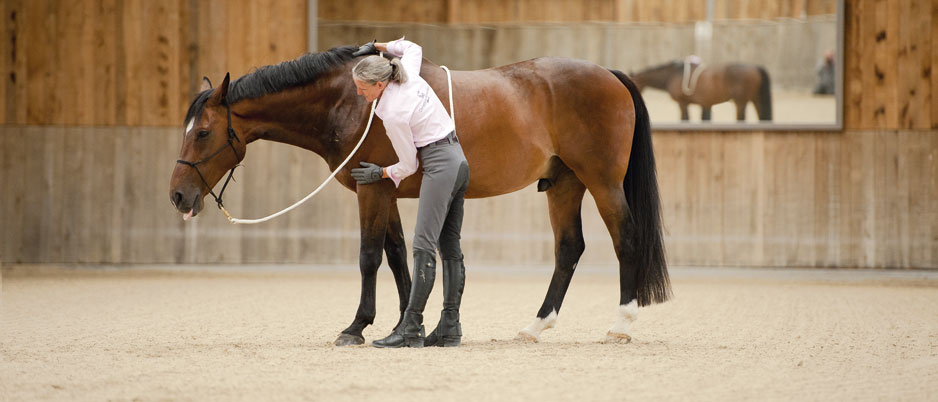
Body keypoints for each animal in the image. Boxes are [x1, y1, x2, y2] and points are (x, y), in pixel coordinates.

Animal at [166, 44, 664, 346]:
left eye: (204, 132)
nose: (177, 196)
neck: (353, 101)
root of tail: (610, 74)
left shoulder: (372, 190)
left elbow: (369, 257)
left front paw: (357, 327)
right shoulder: (389, 192)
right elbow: (399, 257)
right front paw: (410, 325)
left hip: (601, 182)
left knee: (626, 241)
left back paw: (621, 325)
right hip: (563, 184)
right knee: (568, 249)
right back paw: (535, 326)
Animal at [624, 60, 772, 121]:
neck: (674, 74)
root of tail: (755, 67)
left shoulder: (682, 103)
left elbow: (685, 119)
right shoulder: (702, 105)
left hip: (741, 102)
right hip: (755, 100)